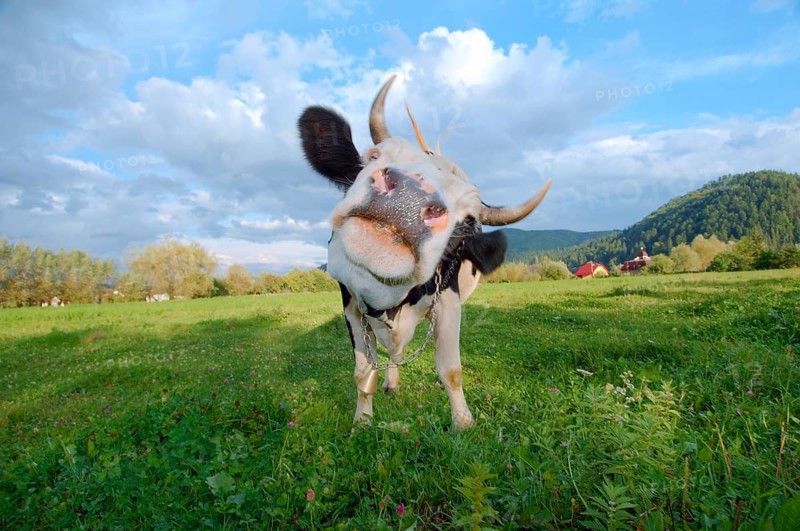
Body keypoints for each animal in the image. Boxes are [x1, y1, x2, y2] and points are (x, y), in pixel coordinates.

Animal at [298, 75, 551, 430]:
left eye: (467, 222)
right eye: (373, 155)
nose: (409, 198)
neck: (386, 302)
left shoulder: (449, 299)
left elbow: (451, 370)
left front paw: (463, 423)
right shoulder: (349, 303)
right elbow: (362, 372)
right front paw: (362, 420)